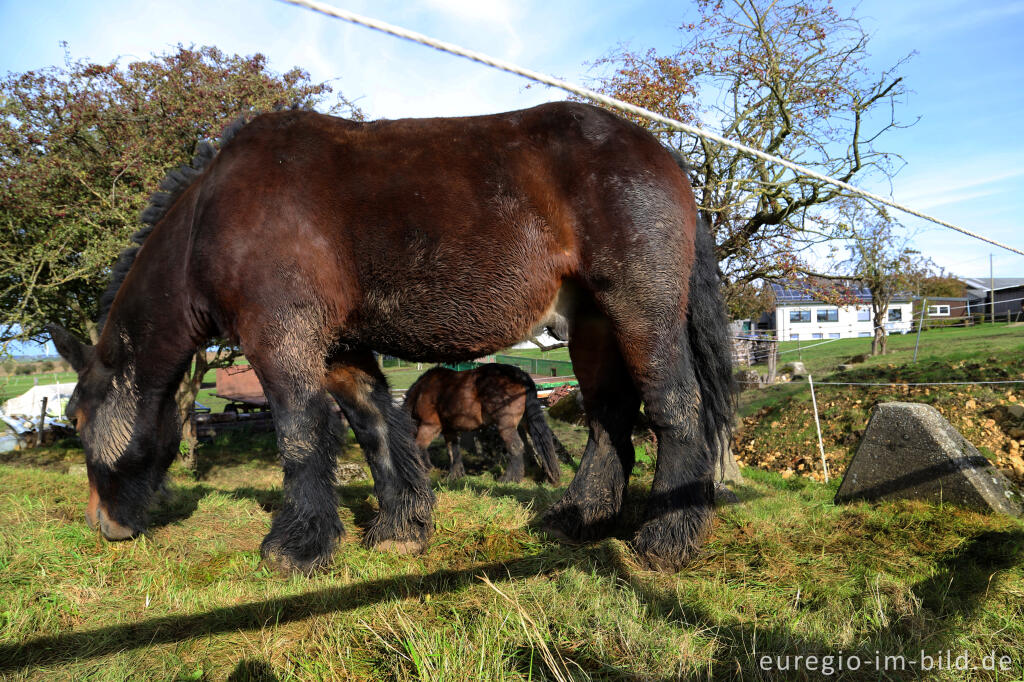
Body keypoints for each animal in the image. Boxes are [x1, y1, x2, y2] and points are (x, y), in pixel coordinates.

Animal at [403, 360, 561, 483]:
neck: (421, 392)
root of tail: (518, 374)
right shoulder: (449, 430)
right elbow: (452, 451)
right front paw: (455, 476)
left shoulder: (430, 426)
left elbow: (419, 446)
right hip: (526, 422)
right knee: (541, 442)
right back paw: (547, 475)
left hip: (506, 426)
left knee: (516, 446)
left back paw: (509, 479)